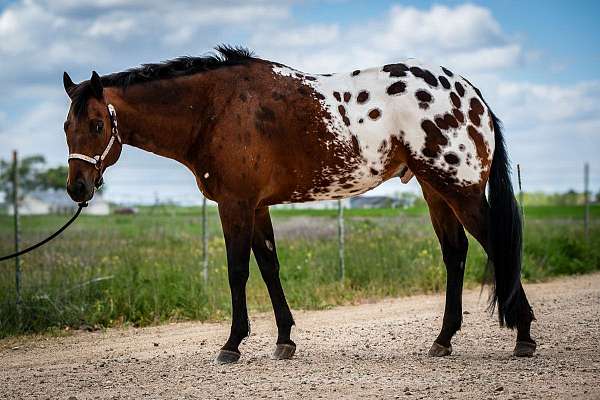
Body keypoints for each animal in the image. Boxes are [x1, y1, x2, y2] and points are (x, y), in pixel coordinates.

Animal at [62, 44, 536, 362]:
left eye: (98, 124)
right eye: (67, 126)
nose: (78, 189)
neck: (215, 108)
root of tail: (470, 94)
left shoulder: (235, 204)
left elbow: (237, 272)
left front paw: (232, 345)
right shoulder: (257, 207)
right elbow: (269, 267)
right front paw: (284, 340)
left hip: (460, 190)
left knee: (496, 245)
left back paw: (523, 335)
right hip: (435, 190)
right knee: (455, 253)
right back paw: (444, 339)